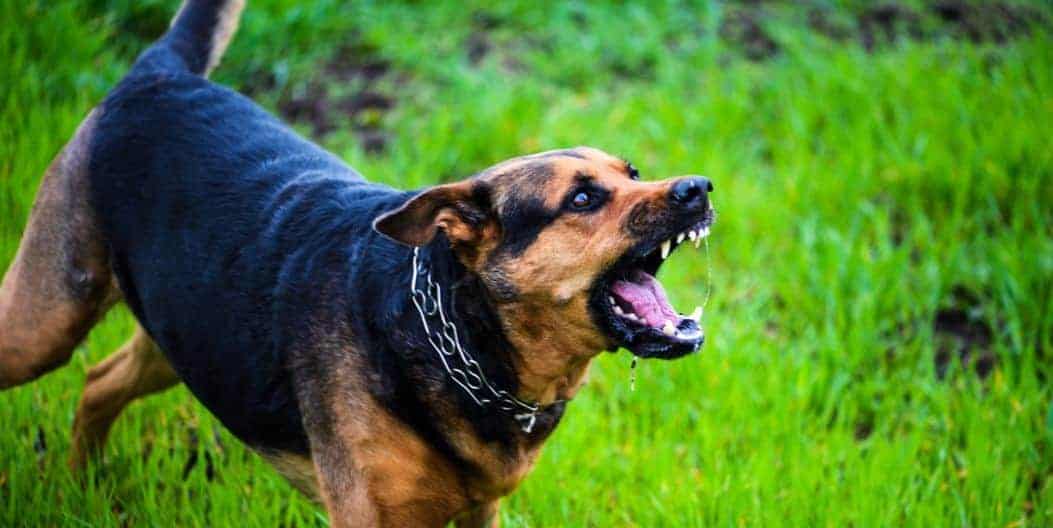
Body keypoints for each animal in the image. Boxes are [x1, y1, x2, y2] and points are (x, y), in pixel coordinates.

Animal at [0, 2, 716, 524]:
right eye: (583, 199)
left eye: (633, 173)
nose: (699, 188)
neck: (461, 339)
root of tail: (156, 74)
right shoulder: (368, 514)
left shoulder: (478, 511)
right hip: (46, 320)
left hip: (187, 333)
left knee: (99, 380)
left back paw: (82, 484)